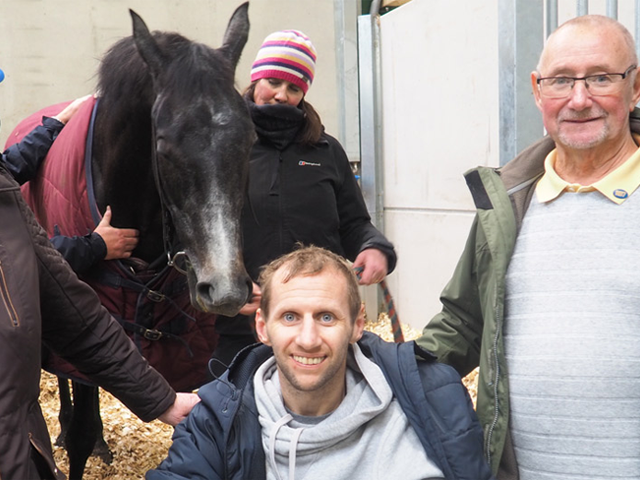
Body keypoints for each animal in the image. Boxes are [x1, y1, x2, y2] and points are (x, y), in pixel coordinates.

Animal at [11, 3, 255, 480]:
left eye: (250, 140)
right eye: (163, 149)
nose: (225, 289)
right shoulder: (88, 312)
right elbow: (83, 423)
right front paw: (77, 435)